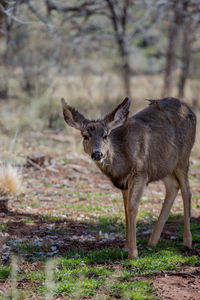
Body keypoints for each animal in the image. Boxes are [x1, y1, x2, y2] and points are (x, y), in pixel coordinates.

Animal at [61, 97, 195, 258]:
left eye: (105, 135)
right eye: (85, 136)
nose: (98, 154)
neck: (122, 158)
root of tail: (190, 109)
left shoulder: (140, 173)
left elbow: (132, 207)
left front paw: (133, 253)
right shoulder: (124, 182)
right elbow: (125, 209)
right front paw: (126, 246)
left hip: (183, 157)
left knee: (187, 192)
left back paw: (187, 242)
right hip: (165, 166)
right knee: (173, 186)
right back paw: (153, 241)